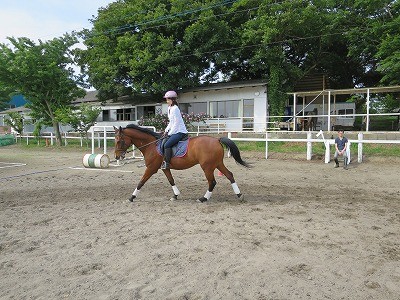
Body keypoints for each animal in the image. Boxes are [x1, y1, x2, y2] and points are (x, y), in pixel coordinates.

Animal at [113, 123, 250, 203]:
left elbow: (141, 182)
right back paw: (239, 195)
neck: (151, 145)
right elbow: (171, 180)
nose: (116, 156)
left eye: (119, 140)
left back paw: (203, 198)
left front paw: (131, 197)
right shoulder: (165, 168)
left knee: (212, 182)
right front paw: (175, 195)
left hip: (207, 167)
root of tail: (217, 139)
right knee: (229, 175)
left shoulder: (151, 168)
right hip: (217, 164)